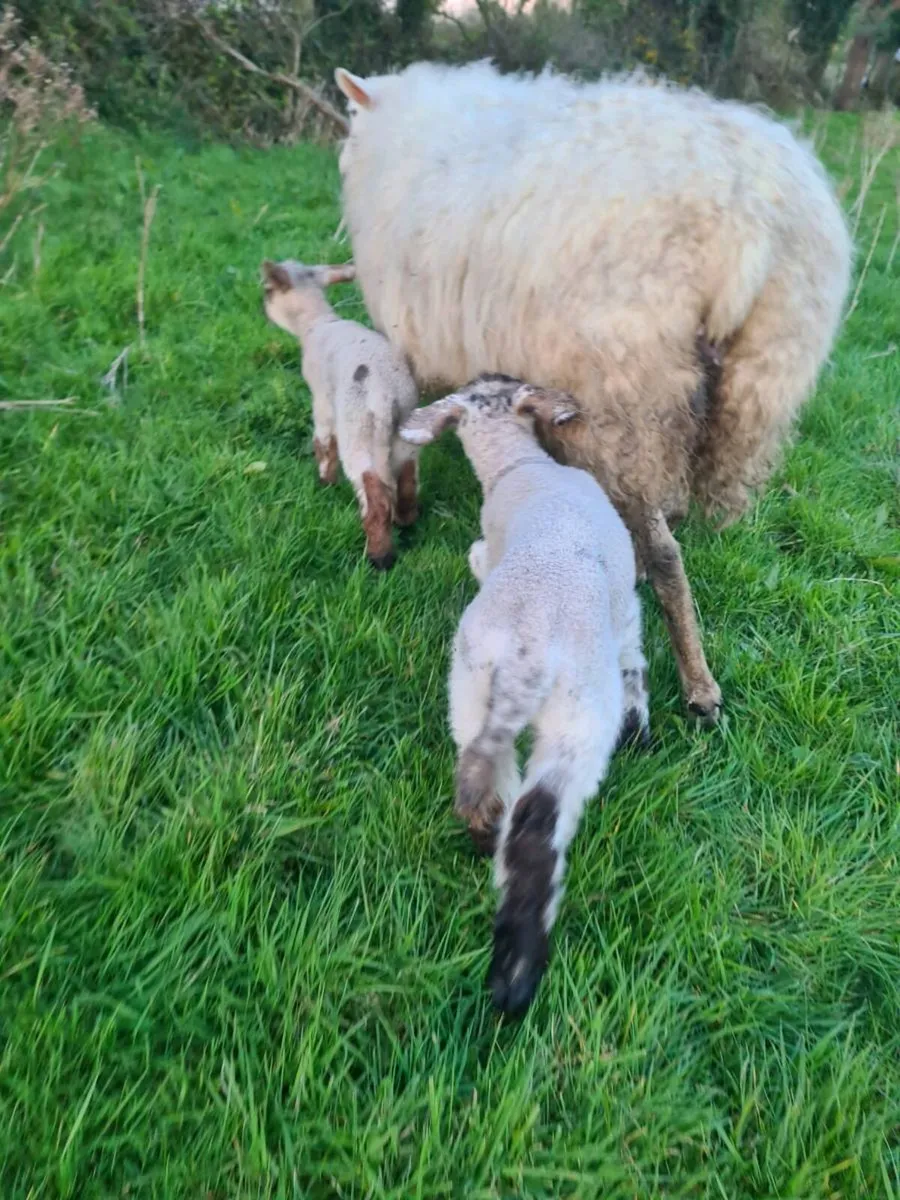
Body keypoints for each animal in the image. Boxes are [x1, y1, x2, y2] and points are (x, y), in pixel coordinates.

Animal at [261, 258, 420, 570]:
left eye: (268, 290)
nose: (262, 308)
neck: (318, 322)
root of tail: (386, 398)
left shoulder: (322, 399)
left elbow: (323, 443)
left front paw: (325, 482)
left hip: (357, 430)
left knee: (374, 496)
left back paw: (379, 557)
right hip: (405, 432)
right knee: (407, 479)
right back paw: (405, 520)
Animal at [334, 61, 853, 720]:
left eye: (349, 122)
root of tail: (747, 224)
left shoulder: (415, 339)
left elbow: (409, 438)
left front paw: (402, 516)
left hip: (620, 390)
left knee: (667, 554)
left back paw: (699, 686)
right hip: (752, 380)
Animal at [400, 373, 649, 1016]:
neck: (520, 465)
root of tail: (526, 660)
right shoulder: (626, 610)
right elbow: (635, 658)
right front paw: (641, 720)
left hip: (468, 689)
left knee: (493, 790)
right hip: (577, 723)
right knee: (538, 826)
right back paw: (517, 975)